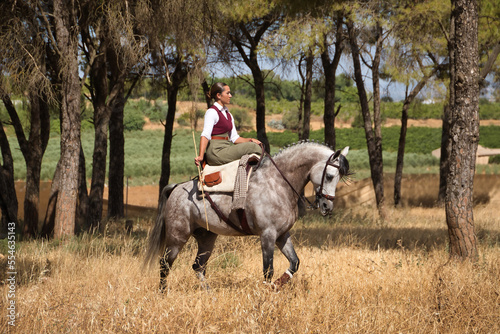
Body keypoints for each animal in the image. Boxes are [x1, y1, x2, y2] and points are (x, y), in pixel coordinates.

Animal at [143, 141, 350, 290]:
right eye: (330, 176)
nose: (327, 206)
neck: (277, 183)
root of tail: (177, 187)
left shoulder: (282, 235)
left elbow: (294, 263)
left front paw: (276, 286)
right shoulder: (267, 235)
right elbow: (268, 270)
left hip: (206, 238)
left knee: (198, 266)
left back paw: (209, 294)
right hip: (177, 238)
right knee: (165, 264)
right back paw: (163, 293)